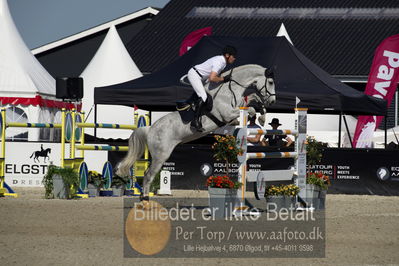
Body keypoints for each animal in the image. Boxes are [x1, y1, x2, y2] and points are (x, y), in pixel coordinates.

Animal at [117, 63, 276, 198]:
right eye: (270, 82)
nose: (273, 101)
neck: (228, 90)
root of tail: (150, 129)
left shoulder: (240, 104)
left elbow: (253, 98)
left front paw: (262, 115)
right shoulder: (228, 113)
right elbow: (250, 109)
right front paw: (255, 117)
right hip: (161, 155)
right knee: (148, 175)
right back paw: (145, 200)